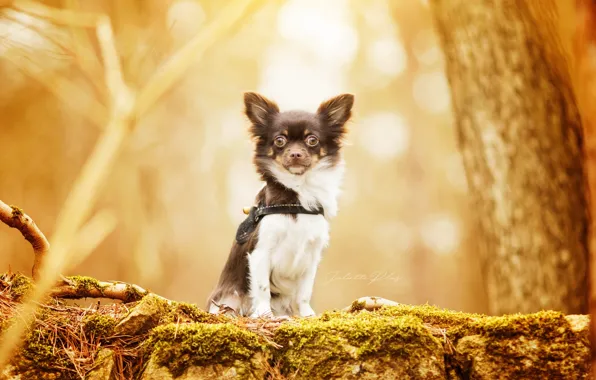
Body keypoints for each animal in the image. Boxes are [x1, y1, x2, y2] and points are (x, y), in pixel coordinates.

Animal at [206, 91, 354, 318]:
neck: (296, 197)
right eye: (280, 140)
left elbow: (304, 292)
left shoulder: (311, 257)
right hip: (226, 300)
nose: (295, 153)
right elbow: (262, 288)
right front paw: (264, 314)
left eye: (312, 140)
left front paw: (307, 314)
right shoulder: (260, 252)